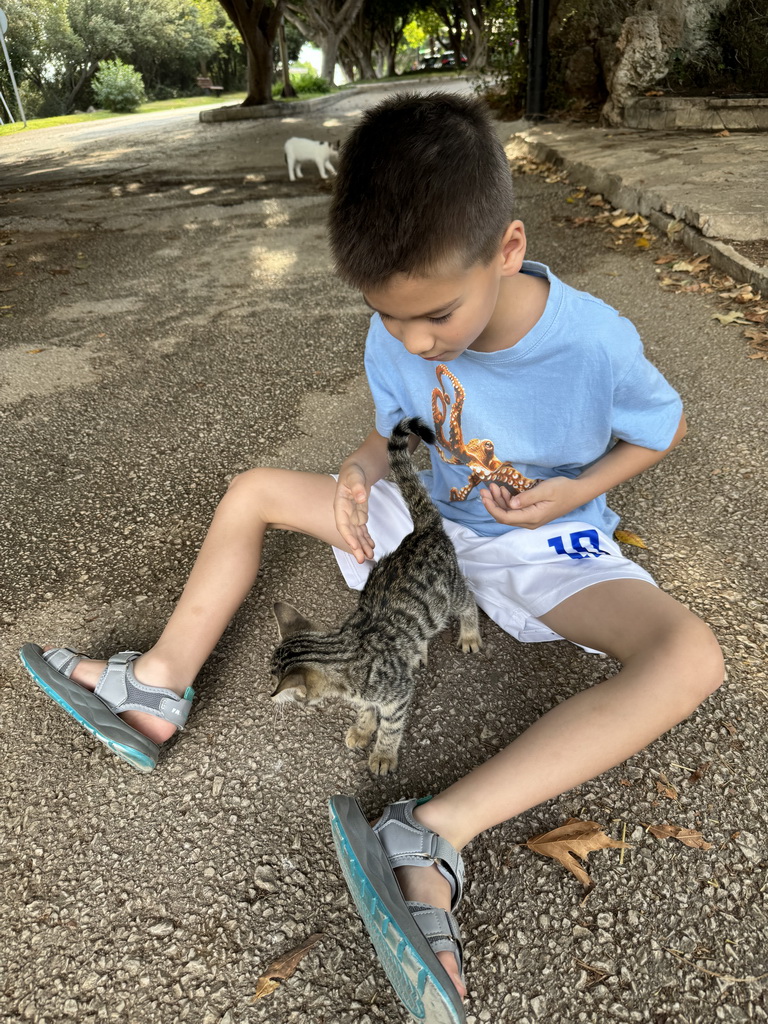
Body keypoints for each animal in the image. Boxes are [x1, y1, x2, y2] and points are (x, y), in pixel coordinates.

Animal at [268, 415, 479, 774]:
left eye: (274, 677)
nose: (268, 695)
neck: (343, 649)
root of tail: (423, 530)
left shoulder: (398, 695)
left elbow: (391, 727)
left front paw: (382, 754)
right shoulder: (368, 695)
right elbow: (367, 710)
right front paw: (362, 729)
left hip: (449, 594)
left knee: (470, 599)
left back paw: (469, 633)